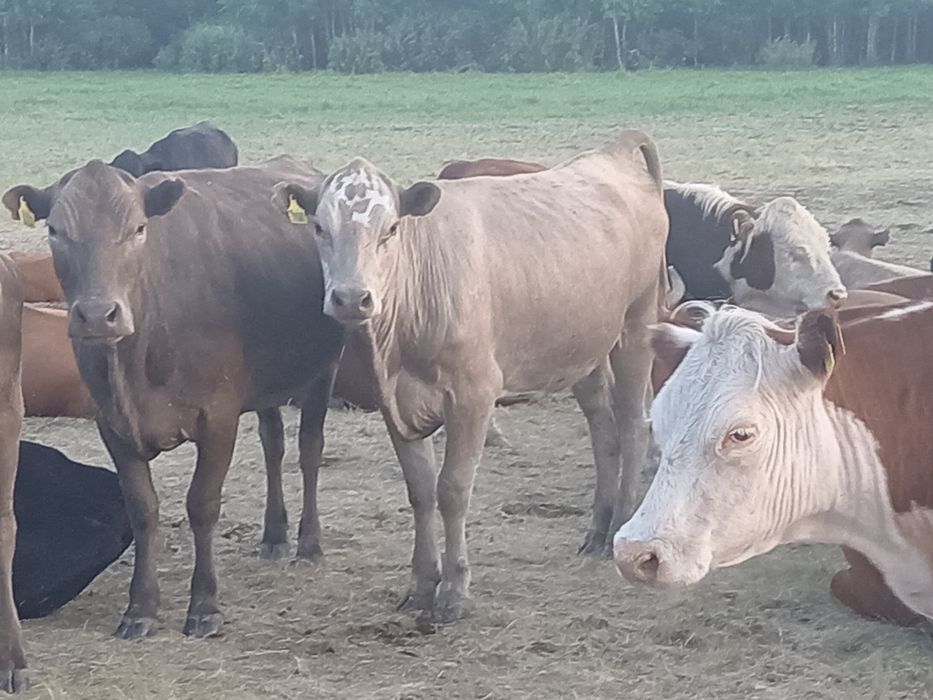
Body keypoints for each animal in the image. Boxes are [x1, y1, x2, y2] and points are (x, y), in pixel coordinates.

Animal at [276, 130, 669, 622]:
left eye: (391, 229)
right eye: (318, 228)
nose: (351, 298)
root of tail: (611, 153)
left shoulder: (473, 394)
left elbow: (452, 489)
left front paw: (454, 590)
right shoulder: (394, 402)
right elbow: (421, 490)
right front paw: (421, 584)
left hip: (636, 324)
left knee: (634, 423)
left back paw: (619, 525)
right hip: (584, 344)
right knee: (605, 430)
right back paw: (597, 530)